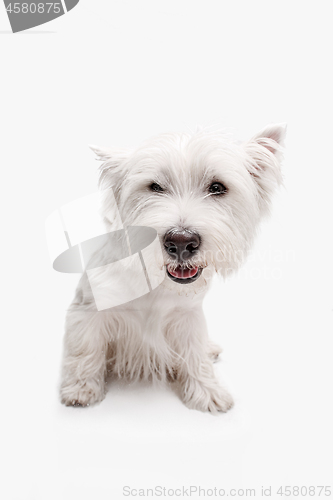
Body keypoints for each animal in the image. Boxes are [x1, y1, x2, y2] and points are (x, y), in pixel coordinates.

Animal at [59, 125, 282, 414]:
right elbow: (85, 350)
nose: (181, 242)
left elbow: (195, 354)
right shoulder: (87, 310)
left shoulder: (188, 316)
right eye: (155, 187)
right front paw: (81, 388)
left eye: (217, 187)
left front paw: (207, 391)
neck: (155, 282)